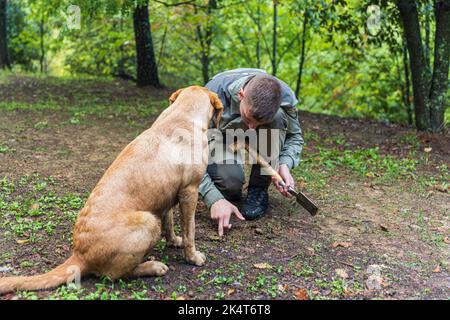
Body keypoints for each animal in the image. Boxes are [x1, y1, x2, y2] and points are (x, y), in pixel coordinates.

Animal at [0, 85, 224, 296]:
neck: (181, 115)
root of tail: (80, 254)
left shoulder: (168, 194)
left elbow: (170, 223)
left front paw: (173, 241)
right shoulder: (190, 191)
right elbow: (190, 231)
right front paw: (193, 257)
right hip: (149, 222)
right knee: (115, 275)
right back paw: (152, 266)